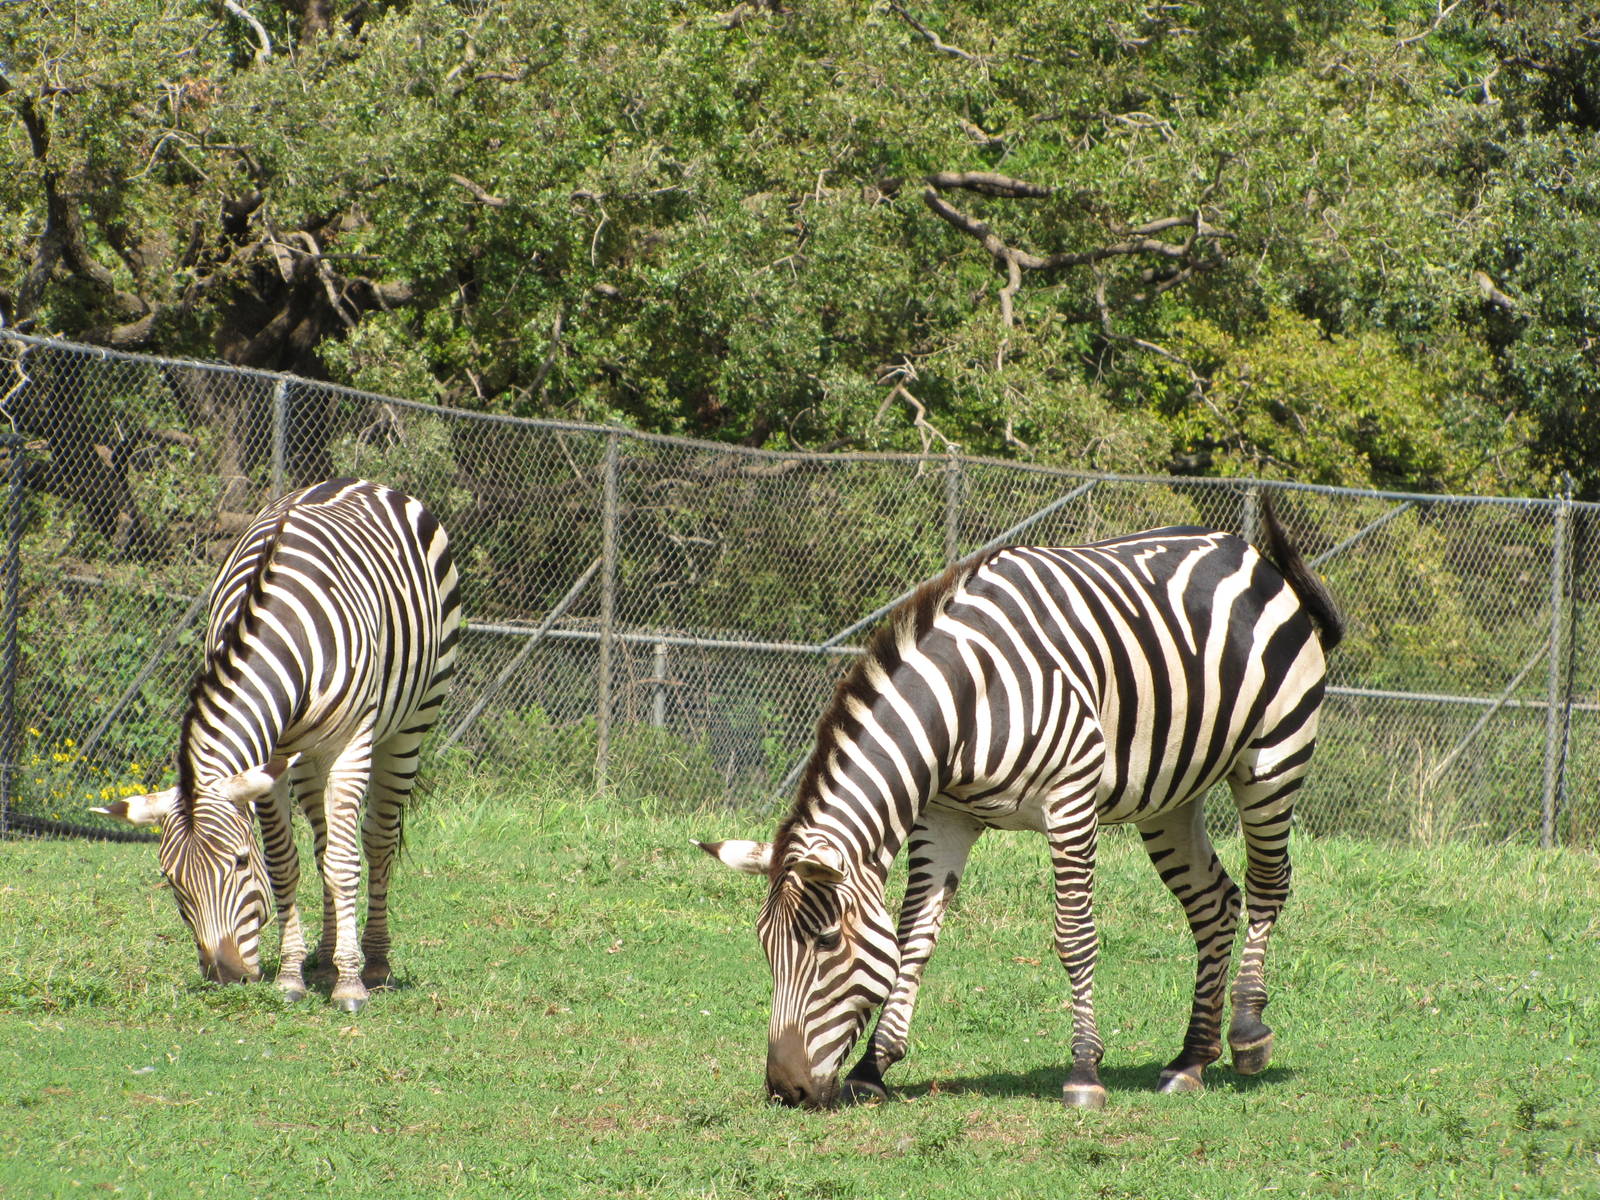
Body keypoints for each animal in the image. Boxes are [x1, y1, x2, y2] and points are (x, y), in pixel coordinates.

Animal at [95, 478, 461, 1013]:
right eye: (171, 880)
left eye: (239, 863)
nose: (225, 976)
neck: (278, 631)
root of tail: (359, 480)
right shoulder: (272, 758)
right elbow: (288, 863)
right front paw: (292, 976)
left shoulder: (352, 742)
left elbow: (345, 864)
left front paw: (349, 987)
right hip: (307, 756)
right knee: (326, 841)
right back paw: (326, 956)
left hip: (411, 723)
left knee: (374, 840)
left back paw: (373, 962)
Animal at [699, 497, 1341, 1109]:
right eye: (765, 946)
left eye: (826, 941)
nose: (786, 1091)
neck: (967, 698)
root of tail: (1247, 551)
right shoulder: (945, 817)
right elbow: (913, 938)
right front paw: (872, 1070)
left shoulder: (1071, 800)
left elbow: (1074, 937)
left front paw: (1084, 1072)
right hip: (1170, 797)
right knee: (1214, 900)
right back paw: (1190, 1061)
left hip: (1274, 757)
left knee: (1268, 883)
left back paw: (1247, 1031)